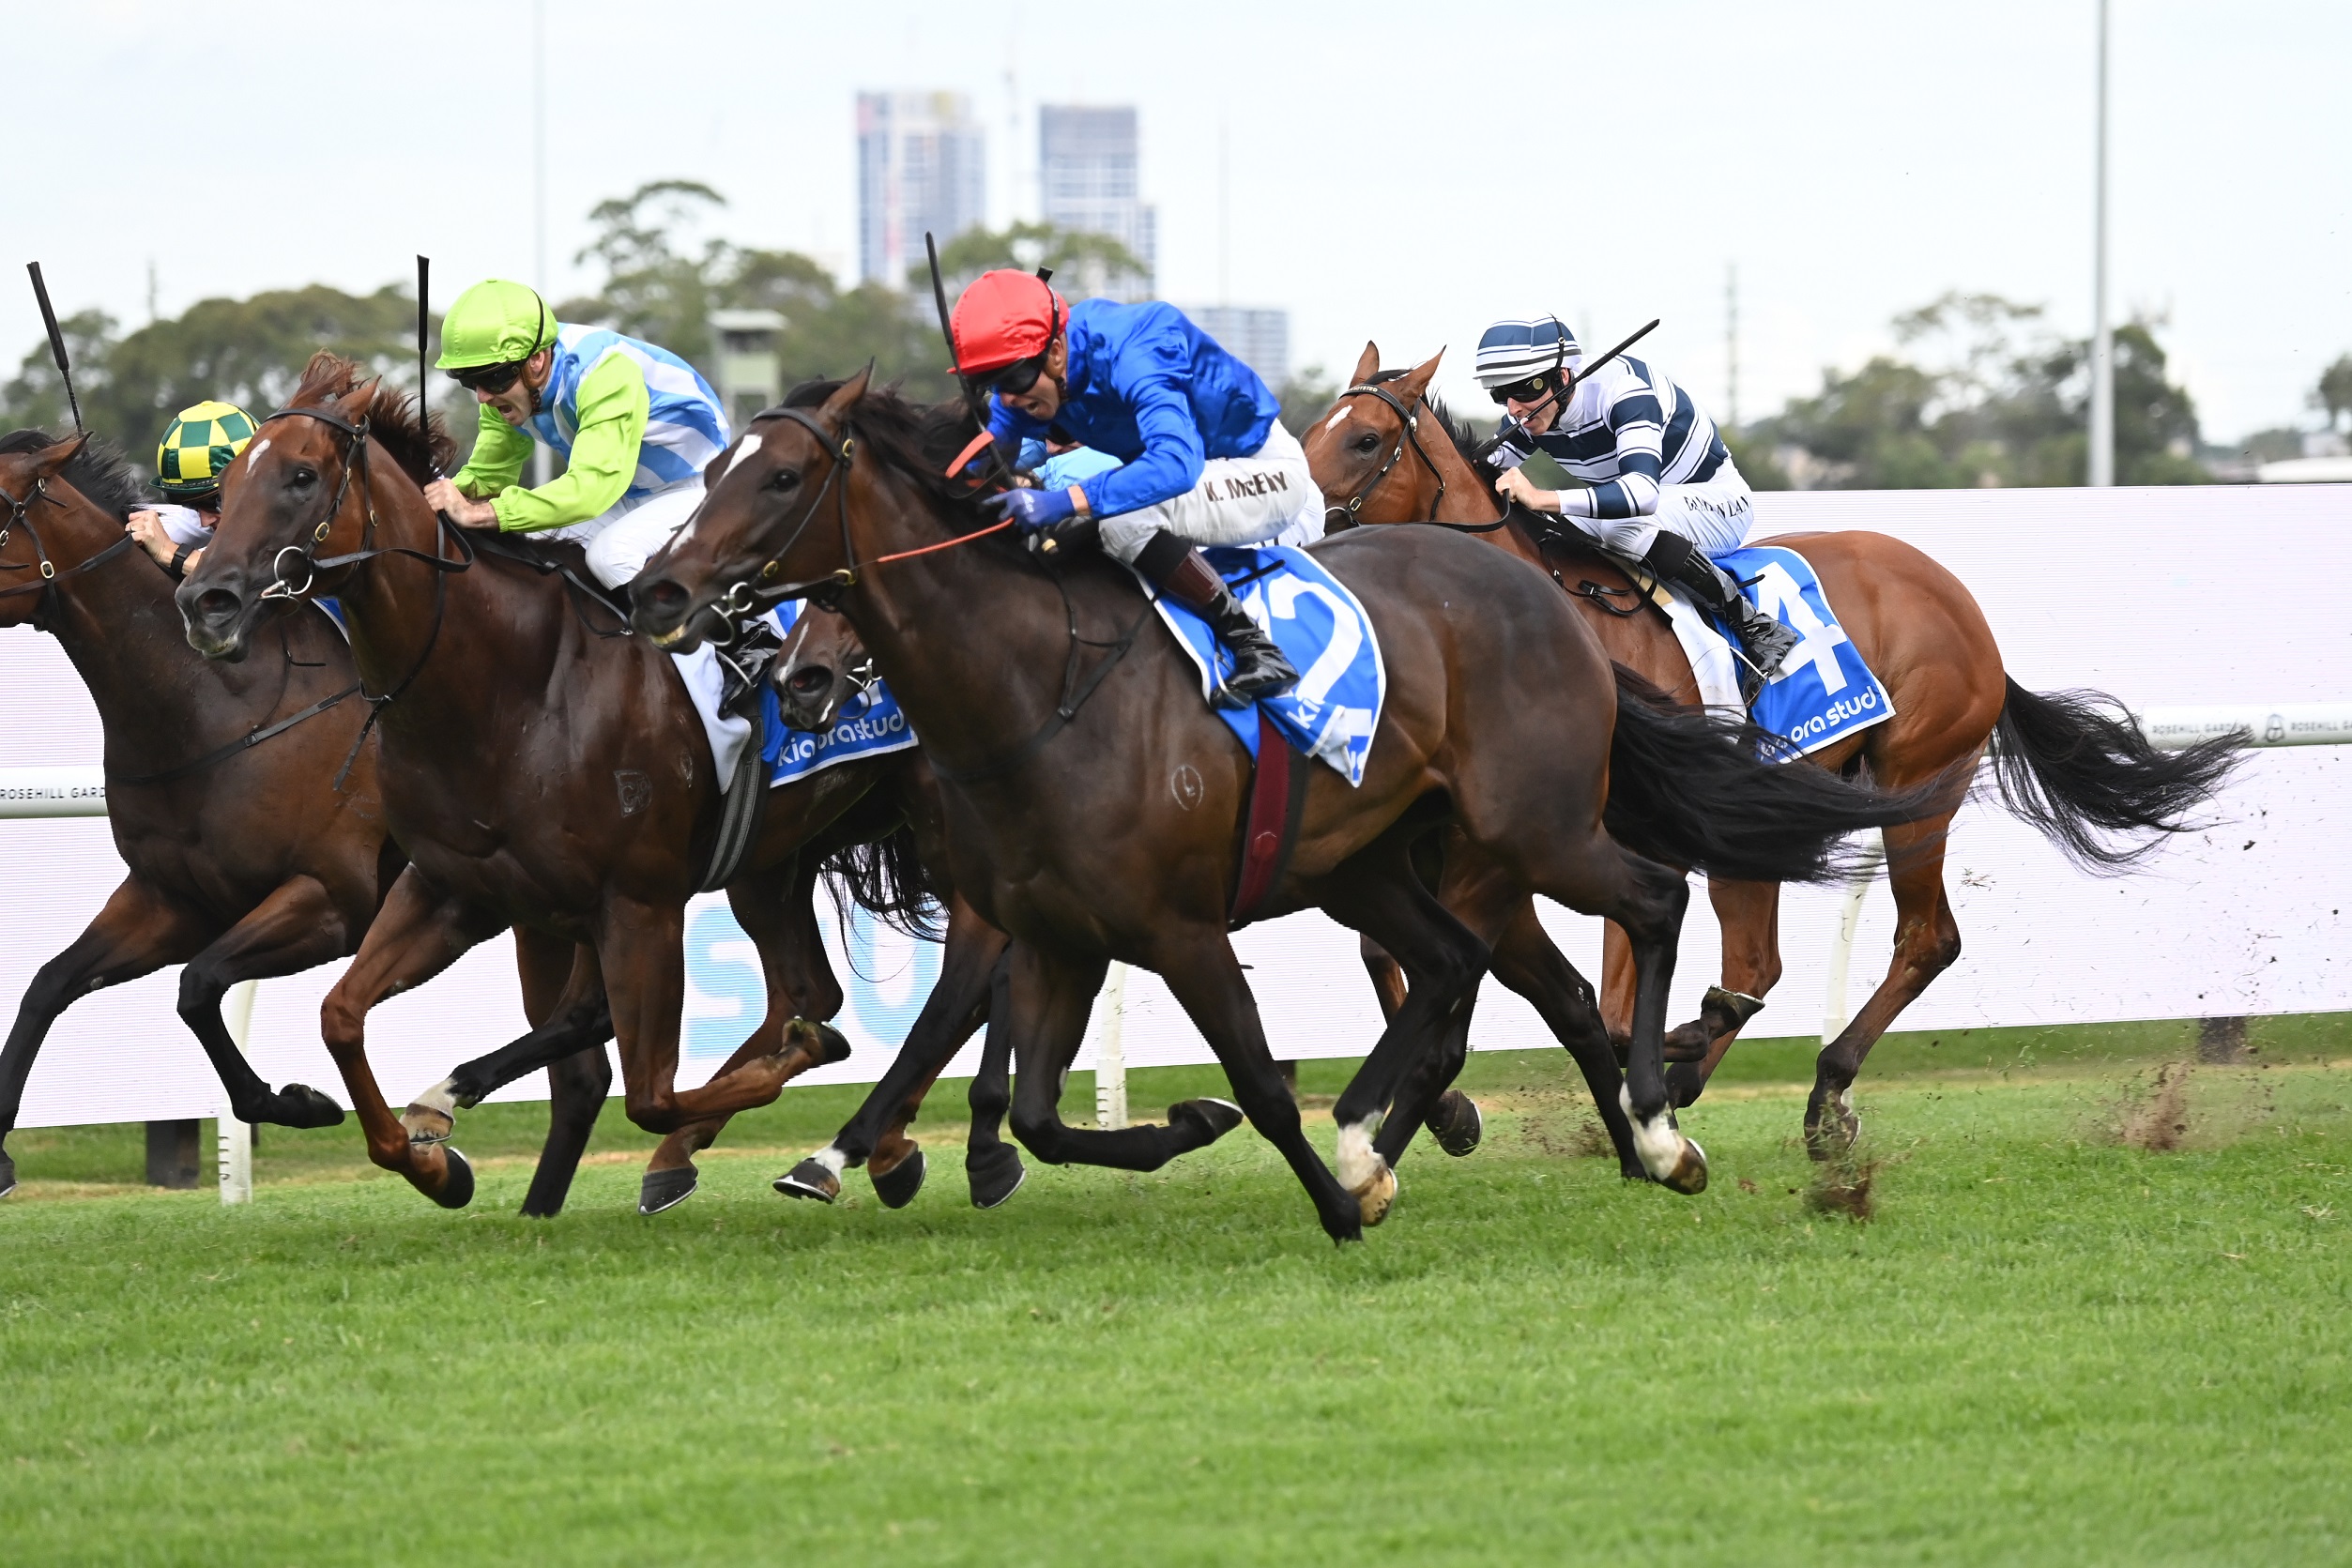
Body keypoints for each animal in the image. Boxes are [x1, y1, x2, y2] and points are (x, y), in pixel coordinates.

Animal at [0, 428, 610, 1214]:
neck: (215, 703)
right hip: (538, 914)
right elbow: (49, 984)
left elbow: (200, 984)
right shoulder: (172, 900)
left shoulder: (328, 900)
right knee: (584, 1072)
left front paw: (299, 1103)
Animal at [174, 355, 1039, 1214]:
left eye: (301, 475)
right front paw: (427, 1157)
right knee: (812, 989)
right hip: (774, 861)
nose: (204, 598)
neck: (508, 687)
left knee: (971, 964)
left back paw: (877, 1146)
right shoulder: (455, 889)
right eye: (228, 483)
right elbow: (339, 1013)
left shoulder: (639, 902)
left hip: (946, 818)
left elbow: (650, 1089)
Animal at [629, 373, 1950, 1242]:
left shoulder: (1177, 929)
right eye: (711, 470)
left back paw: (1663, 1127)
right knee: (1467, 965)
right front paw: (1199, 1131)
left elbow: (1265, 1081)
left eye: (783, 476)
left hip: (1538, 829)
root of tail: (1540, 608)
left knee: (1662, 905)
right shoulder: (1058, 935)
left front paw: (1328, 1195)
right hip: (1380, 862)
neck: (1039, 687)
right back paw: (1414, 1135)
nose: (660, 590)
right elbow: (1048, 1109)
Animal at [1302, 345, 2241, 1151]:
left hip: (1920, 780)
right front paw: (1454, 1107)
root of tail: (1962, 606)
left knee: (1922, 939)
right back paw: (1715, 1068)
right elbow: (1408, 950)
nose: (1300, 526)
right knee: (1760, 959)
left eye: (1366, 438)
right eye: (1310, 428)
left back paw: (1816, 1087)